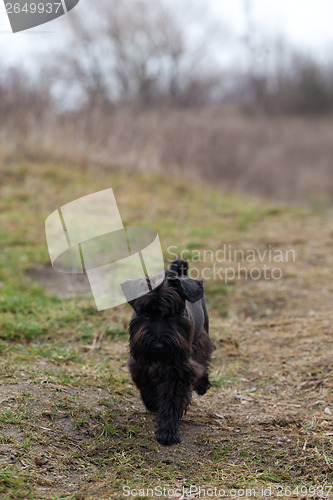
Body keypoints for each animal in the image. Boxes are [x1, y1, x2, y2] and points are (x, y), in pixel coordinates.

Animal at [121, 260, 213, 444]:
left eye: (173, 313)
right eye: (145, 312)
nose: (158, 345)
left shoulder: (180, 369)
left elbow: (172, 399)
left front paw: (167, 432)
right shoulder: (140, 363)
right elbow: (145, 382)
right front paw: (151, 400)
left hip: (203, 333)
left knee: (204, 359)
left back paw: (202, 385)